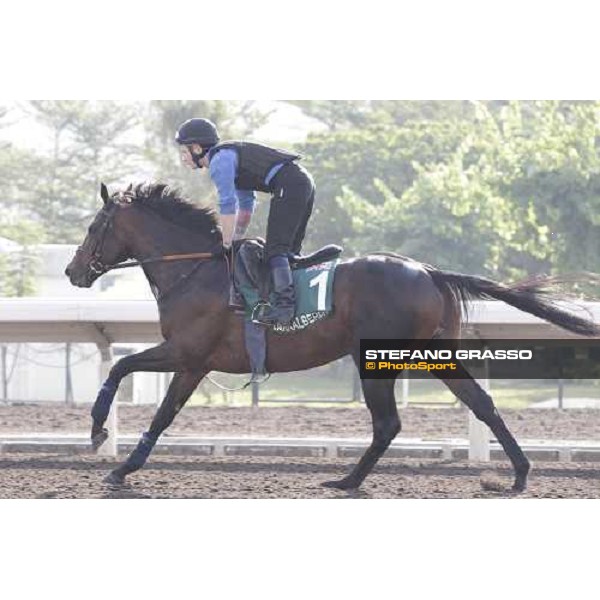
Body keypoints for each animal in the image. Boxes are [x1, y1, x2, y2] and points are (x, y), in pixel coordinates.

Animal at [65, 183, 600, 492]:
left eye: (93, 227)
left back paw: (347, 481)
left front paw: (108, 450)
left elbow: (140, 390)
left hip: (379, 358)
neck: (195, 270)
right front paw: (108, 448)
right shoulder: (189, 358)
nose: (72, 271)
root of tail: (428, 269)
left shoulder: (189, 356)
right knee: (480, 402)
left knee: (389, 423)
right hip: (433, 353)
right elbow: (136, 383)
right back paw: (518, 475)